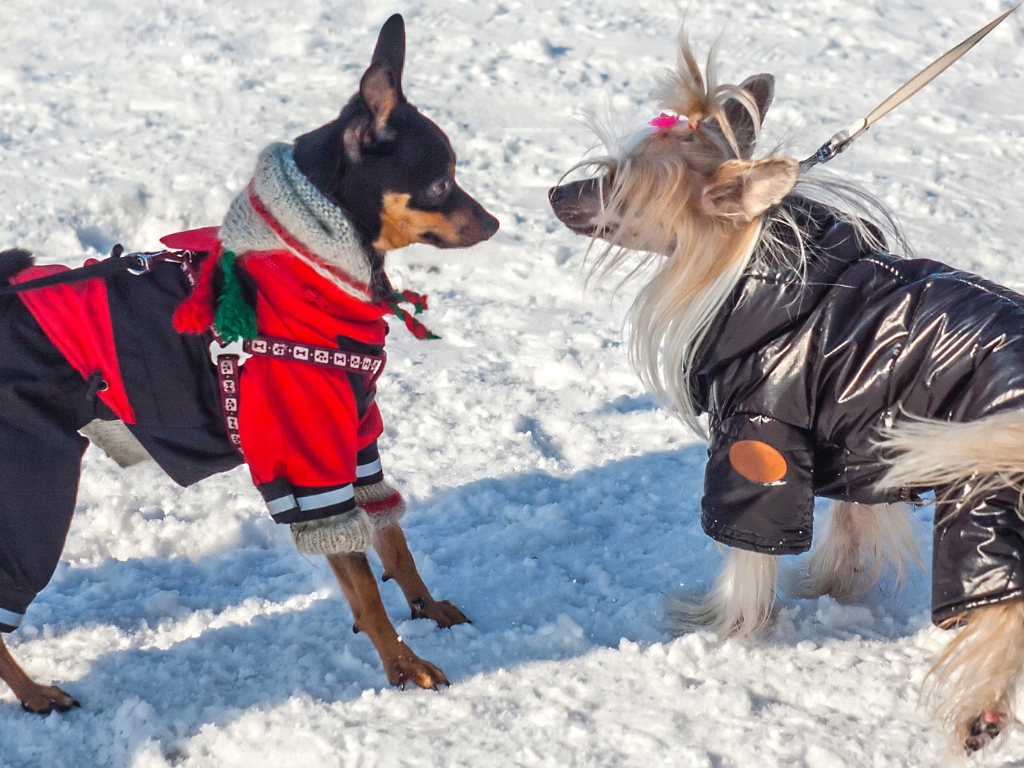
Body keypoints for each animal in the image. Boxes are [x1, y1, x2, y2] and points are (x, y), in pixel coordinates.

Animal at [0, 15, 495, 716]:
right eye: (440, 183)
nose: (496, 221)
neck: (306, 266)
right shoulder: (307, 465)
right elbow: (364, 591)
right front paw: (403, 663)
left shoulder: (356, 440)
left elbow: (392, 541)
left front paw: (425, 609)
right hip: (31, 480)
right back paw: (35, 694)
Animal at [552, 31, 1024, 757]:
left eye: (618, 183)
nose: (554, 192)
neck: (756, 268)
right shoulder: (859, 445)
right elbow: (851, 526)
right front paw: (828, 588)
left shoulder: (759, 439)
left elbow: (749, 551)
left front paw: (721, 624)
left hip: (983, 490)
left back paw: (981, 715)